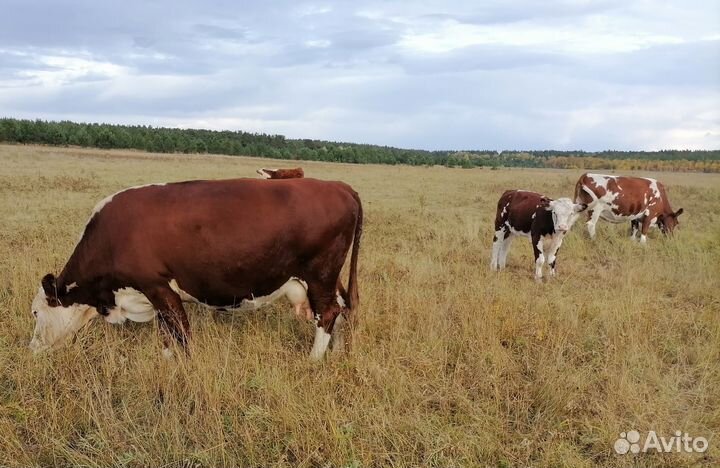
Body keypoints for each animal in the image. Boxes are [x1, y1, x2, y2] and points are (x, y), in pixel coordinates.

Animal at [29, 178, 362, 361]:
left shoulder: (157, 286)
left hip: (319, 273)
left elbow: (180, 332)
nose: (31, 348)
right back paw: (336, 352)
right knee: (340, 307)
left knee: (328, 312)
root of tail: (338, 186)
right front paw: (166, 361)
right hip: (329, 277)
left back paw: (313, 360)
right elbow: (166, 333)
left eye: (35, 313)